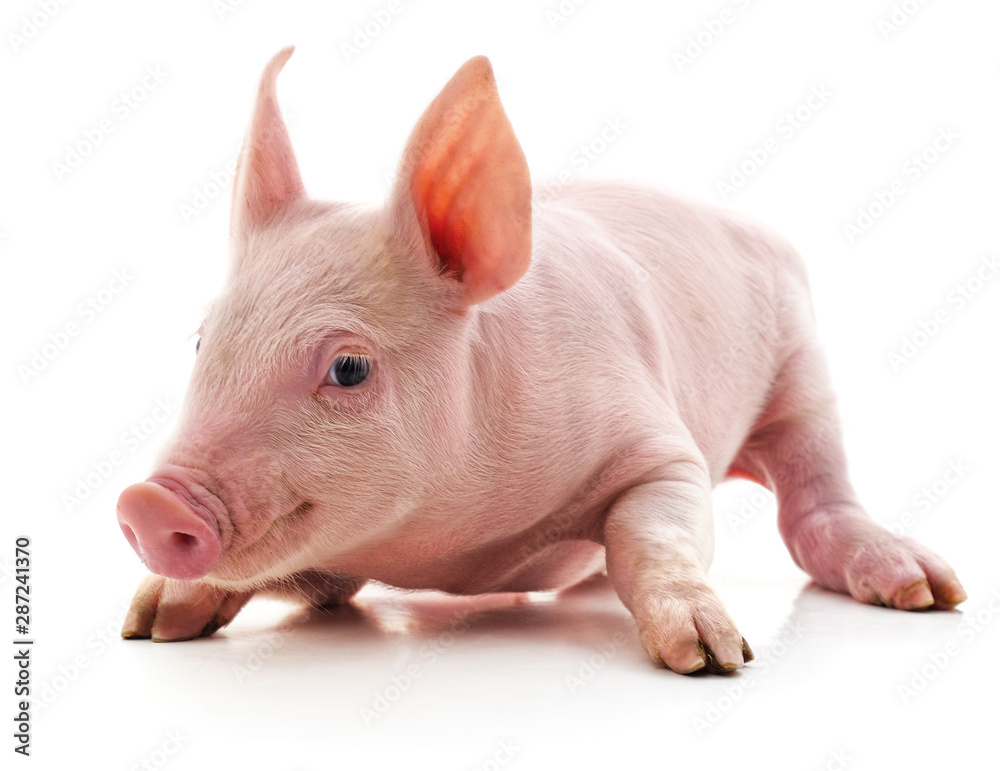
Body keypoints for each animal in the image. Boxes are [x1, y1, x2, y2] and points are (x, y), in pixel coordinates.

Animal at [117, 47, 966, 674]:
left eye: (350, 367)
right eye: (203, 339)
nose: (148, 502)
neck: (454, 555)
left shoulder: (657, 442)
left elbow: (650, 531)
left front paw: (712, 654)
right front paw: (150, 622)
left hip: (804, 366)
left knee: (813, 493)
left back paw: (929, 589)